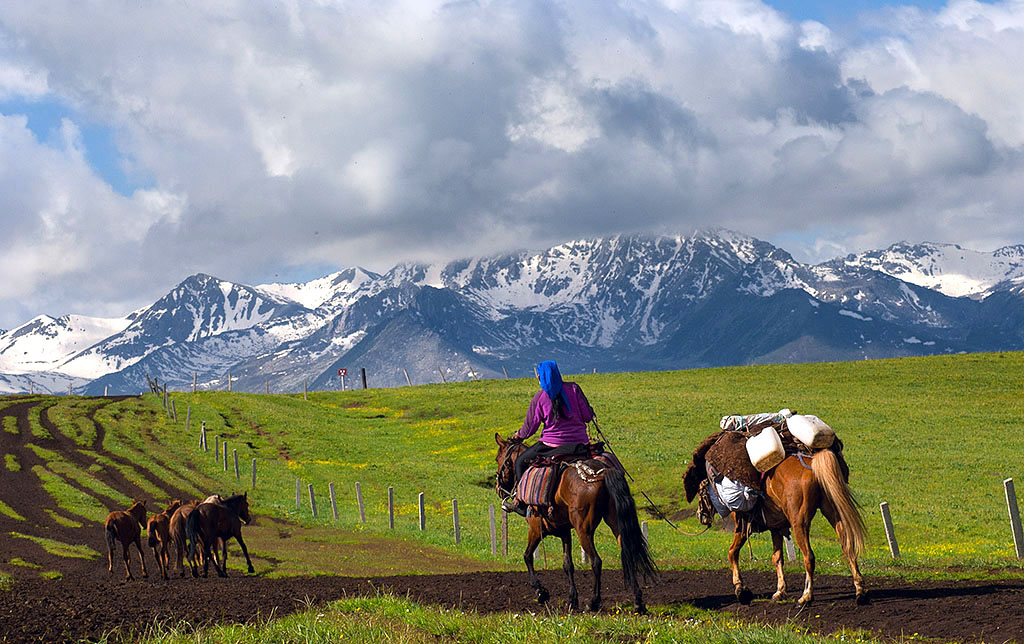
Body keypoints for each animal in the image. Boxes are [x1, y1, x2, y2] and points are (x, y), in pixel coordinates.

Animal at [493, 434, 655, 610]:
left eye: (497, 459)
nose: (498, 488)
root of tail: (602, 473)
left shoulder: (535, 529)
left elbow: (527, 556)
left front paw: (541, 592)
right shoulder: (564, 531)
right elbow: (568, 565)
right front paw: (572, 600)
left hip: (583, 529)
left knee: (596, 561)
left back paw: (593, 602)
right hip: (616, 525)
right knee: (629, 554)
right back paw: (638, 602)